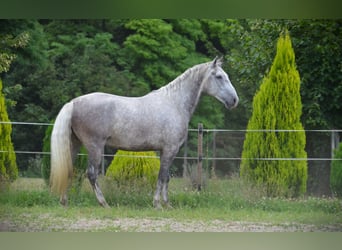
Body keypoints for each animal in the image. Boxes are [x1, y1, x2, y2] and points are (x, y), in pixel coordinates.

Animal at [50, 57, 238, 208]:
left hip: (75, 144)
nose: (234, 100)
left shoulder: (165, 151)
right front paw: (158, 204)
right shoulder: (170, 149)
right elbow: (162, 177)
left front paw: (167, 204)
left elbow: (166, 177)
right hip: (94, 146)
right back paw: (104, 203)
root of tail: (74, 103)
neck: (174, 103)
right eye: (219, 76)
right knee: (91, 174)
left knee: (69, 170)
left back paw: (64, 202)